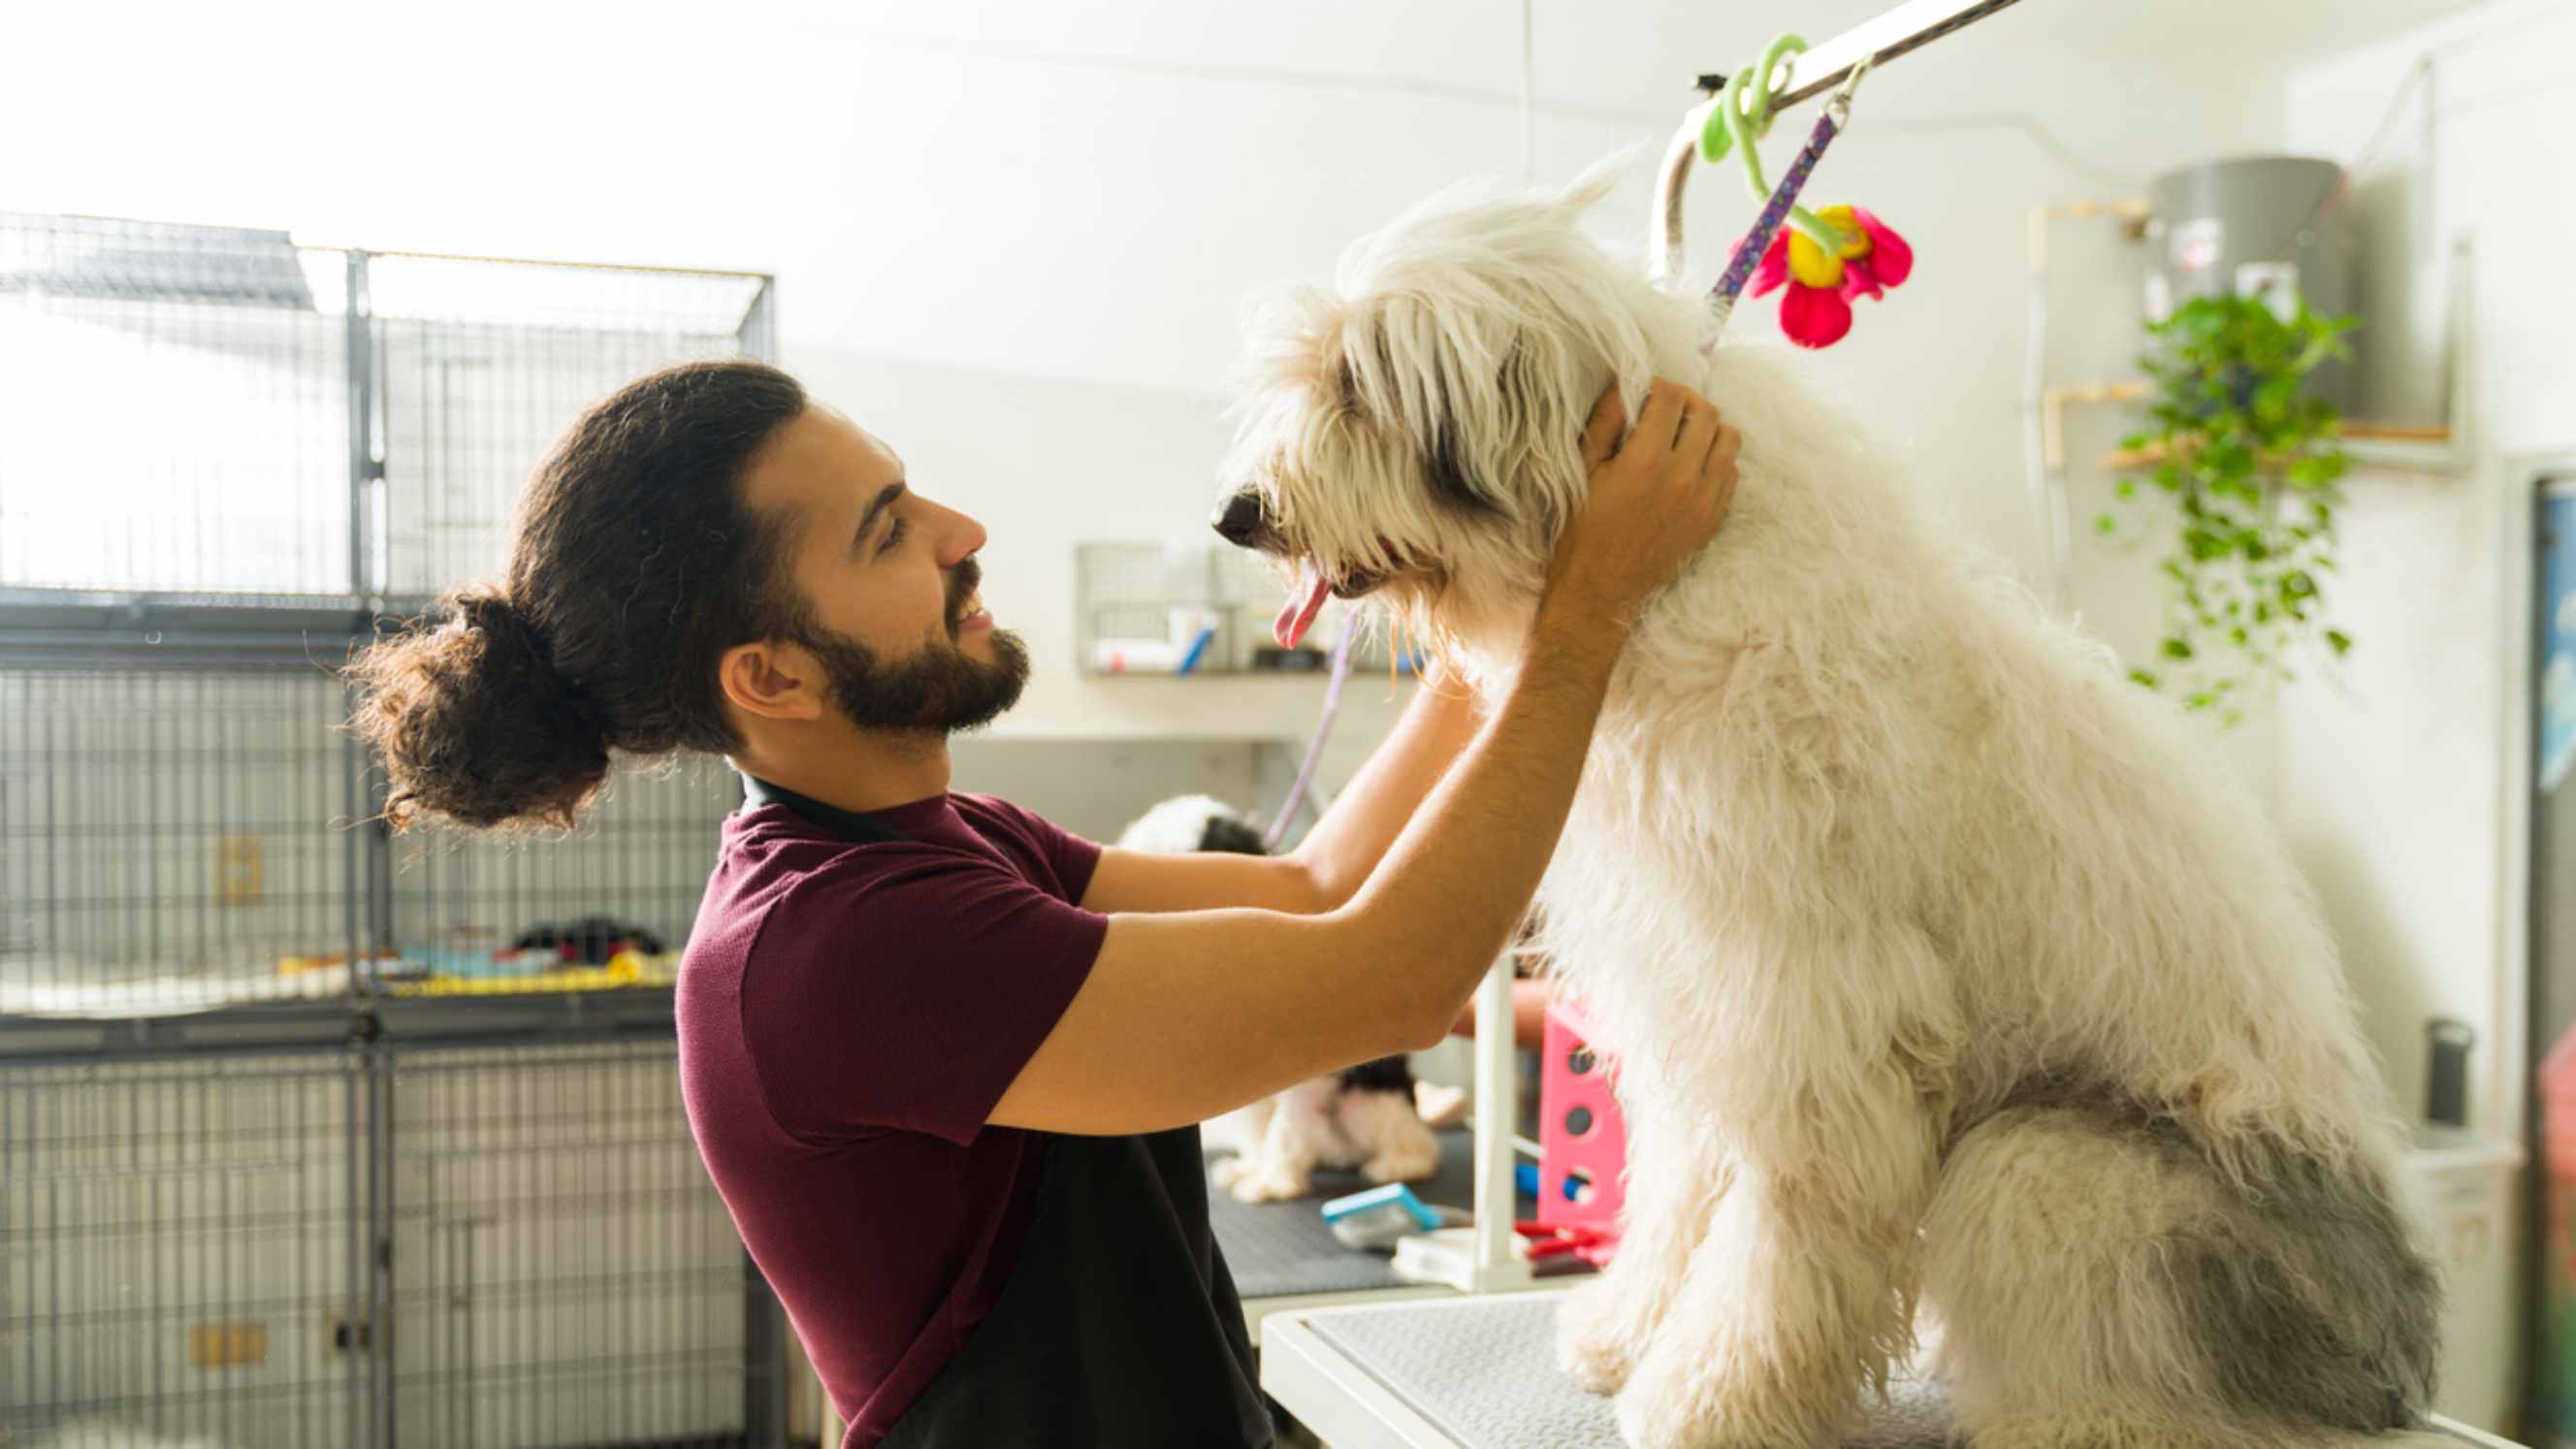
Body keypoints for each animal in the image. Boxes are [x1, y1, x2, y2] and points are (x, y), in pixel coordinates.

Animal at [1215, 171, 2441, 1443]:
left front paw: (1709, 1403)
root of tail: (2392, 1360)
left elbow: (1776, 1245)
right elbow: (1680, 1189)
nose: (1236, 515)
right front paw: (1623, 1336)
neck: (1673, 584)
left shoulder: (1823, 1012)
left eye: (1357, 385)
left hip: (2071, 1173)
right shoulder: (1695, 991)